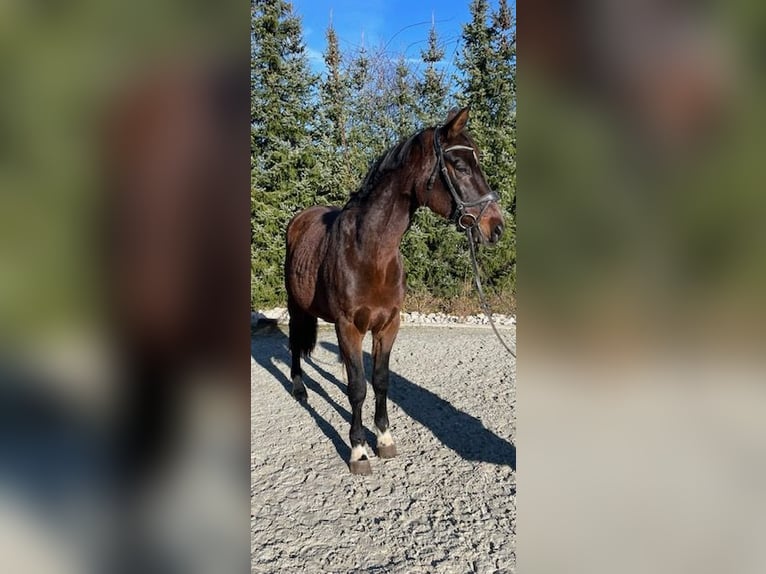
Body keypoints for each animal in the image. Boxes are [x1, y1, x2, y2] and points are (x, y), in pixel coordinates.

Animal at [284, 108, 508, 476]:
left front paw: (384, 439)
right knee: (294, 346)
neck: (370, 251)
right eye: (460, 166)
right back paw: (299, 388)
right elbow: (358, 388)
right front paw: (359, 450)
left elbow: (379, 380)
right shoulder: (348, 326)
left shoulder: (388, 325)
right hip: (296, 307)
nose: (496, 227)